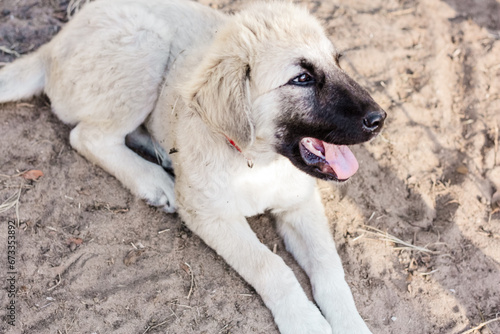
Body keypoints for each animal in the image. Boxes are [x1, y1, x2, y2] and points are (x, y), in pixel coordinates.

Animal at [0, 1, 386, 332]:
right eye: (302, 78)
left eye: (338, 62)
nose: (379, 118)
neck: (255, 162)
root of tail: (53, 45)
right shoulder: (211, 216)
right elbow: (270, 266)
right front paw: (305, 321)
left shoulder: (300, 204)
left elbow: (328, 266)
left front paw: (350, 324)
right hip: (146, 45)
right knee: (87, 136)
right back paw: (155, 180)